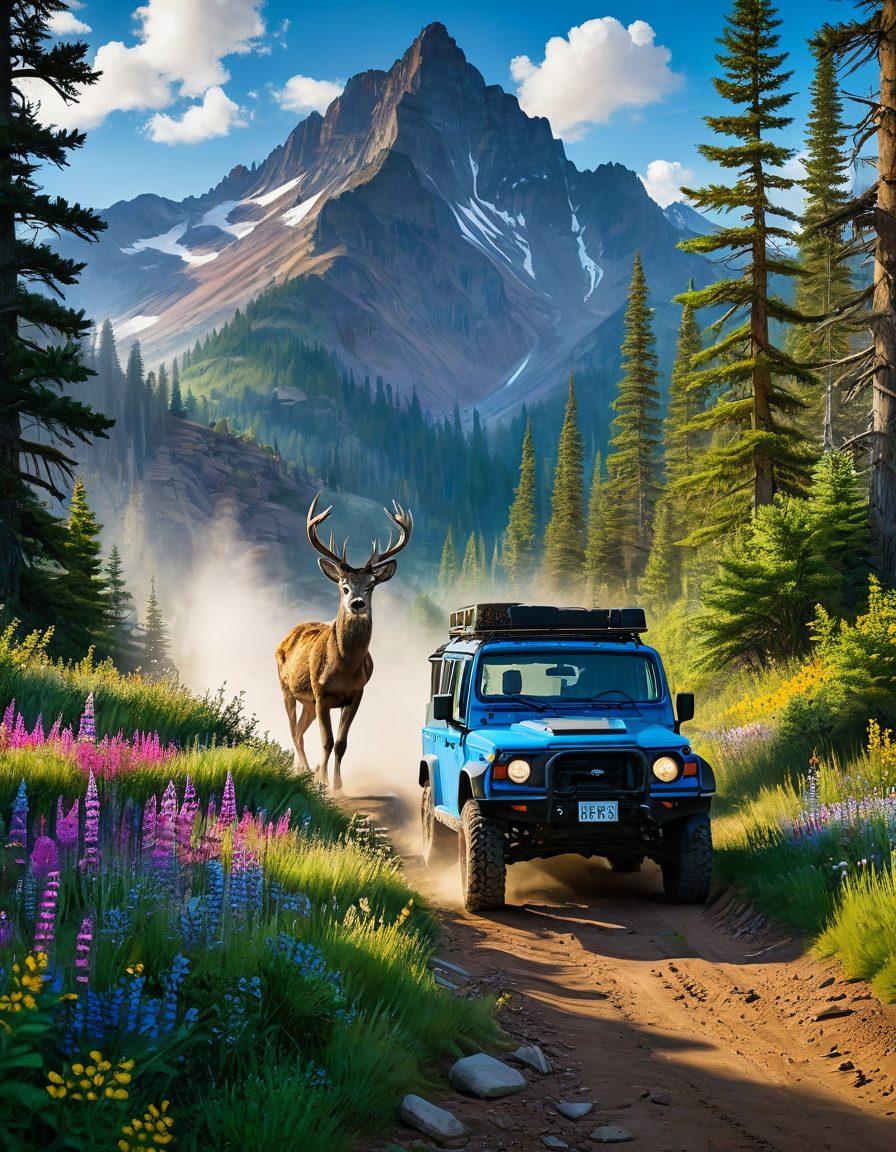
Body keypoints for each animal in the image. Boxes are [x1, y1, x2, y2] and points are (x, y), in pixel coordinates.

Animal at [275, 493, 413, 793]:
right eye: (343, 585)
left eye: (371, 586)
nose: (357, 603)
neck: (343, 668)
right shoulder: (321, 693)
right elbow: (326, 741)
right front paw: (322, 781)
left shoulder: (356, 694)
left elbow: (340, 743)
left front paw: (337, 785)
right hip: (287, 689)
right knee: (293, 730)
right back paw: (304, 769)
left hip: (307, 703)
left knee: (300, 730)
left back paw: (302, 768)